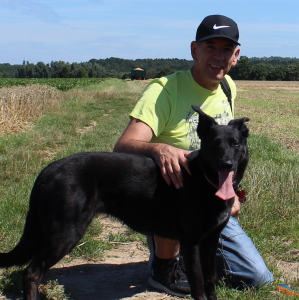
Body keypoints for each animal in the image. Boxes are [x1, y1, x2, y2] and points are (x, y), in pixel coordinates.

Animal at [0, 106, 250, 300]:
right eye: (214, 144)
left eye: (235, 143)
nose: (227, 164)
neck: (204, 179)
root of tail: (49, 170)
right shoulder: (191, 243)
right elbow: (198, 284)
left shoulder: (211, 239)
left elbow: (210, 279)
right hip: (65, 234)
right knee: (31, 272)